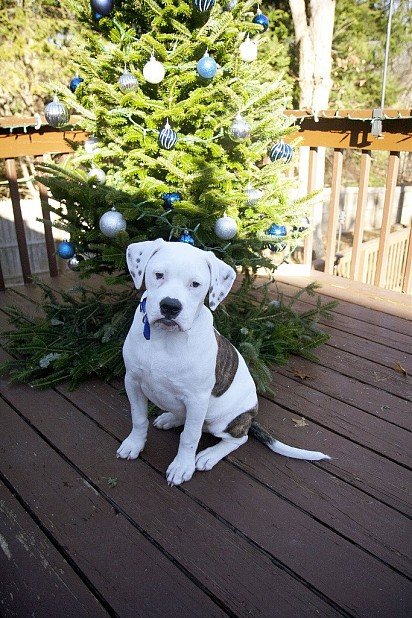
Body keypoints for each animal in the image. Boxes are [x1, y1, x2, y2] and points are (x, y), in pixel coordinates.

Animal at [117, 238, 330, 484]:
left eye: (196, 284)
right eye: (158, 274)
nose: (170, 306)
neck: (165, 339)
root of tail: (250, 417)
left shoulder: (197, 399)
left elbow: (190, 436)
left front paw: (182, 466)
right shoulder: (132, 381)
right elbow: (138, 418)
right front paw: (134, 444)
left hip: (223, 420)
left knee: (237, 438)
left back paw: (209, 455)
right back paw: (170, 419)